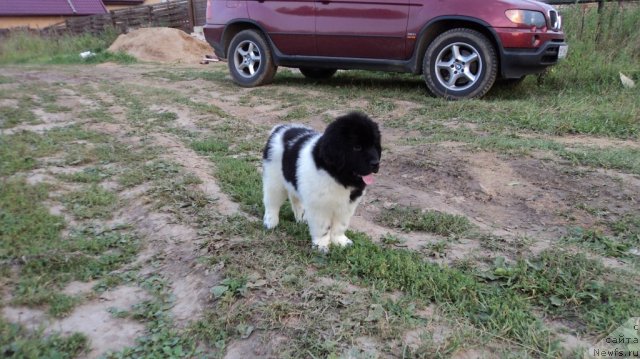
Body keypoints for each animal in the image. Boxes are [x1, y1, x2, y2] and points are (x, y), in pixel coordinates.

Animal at [260, 112, 380, 253]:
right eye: (357, 147)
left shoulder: (347, 205)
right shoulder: (320, 206)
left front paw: (340, 241)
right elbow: (323, 227)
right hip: (274, 180)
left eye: (375, 145)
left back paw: (301, 219)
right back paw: (270, 222)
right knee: (271, 202)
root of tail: (280, 128)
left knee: (296, 200)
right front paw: (321, 245)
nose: (376, 163)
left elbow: (341, 225)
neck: (336, 174)